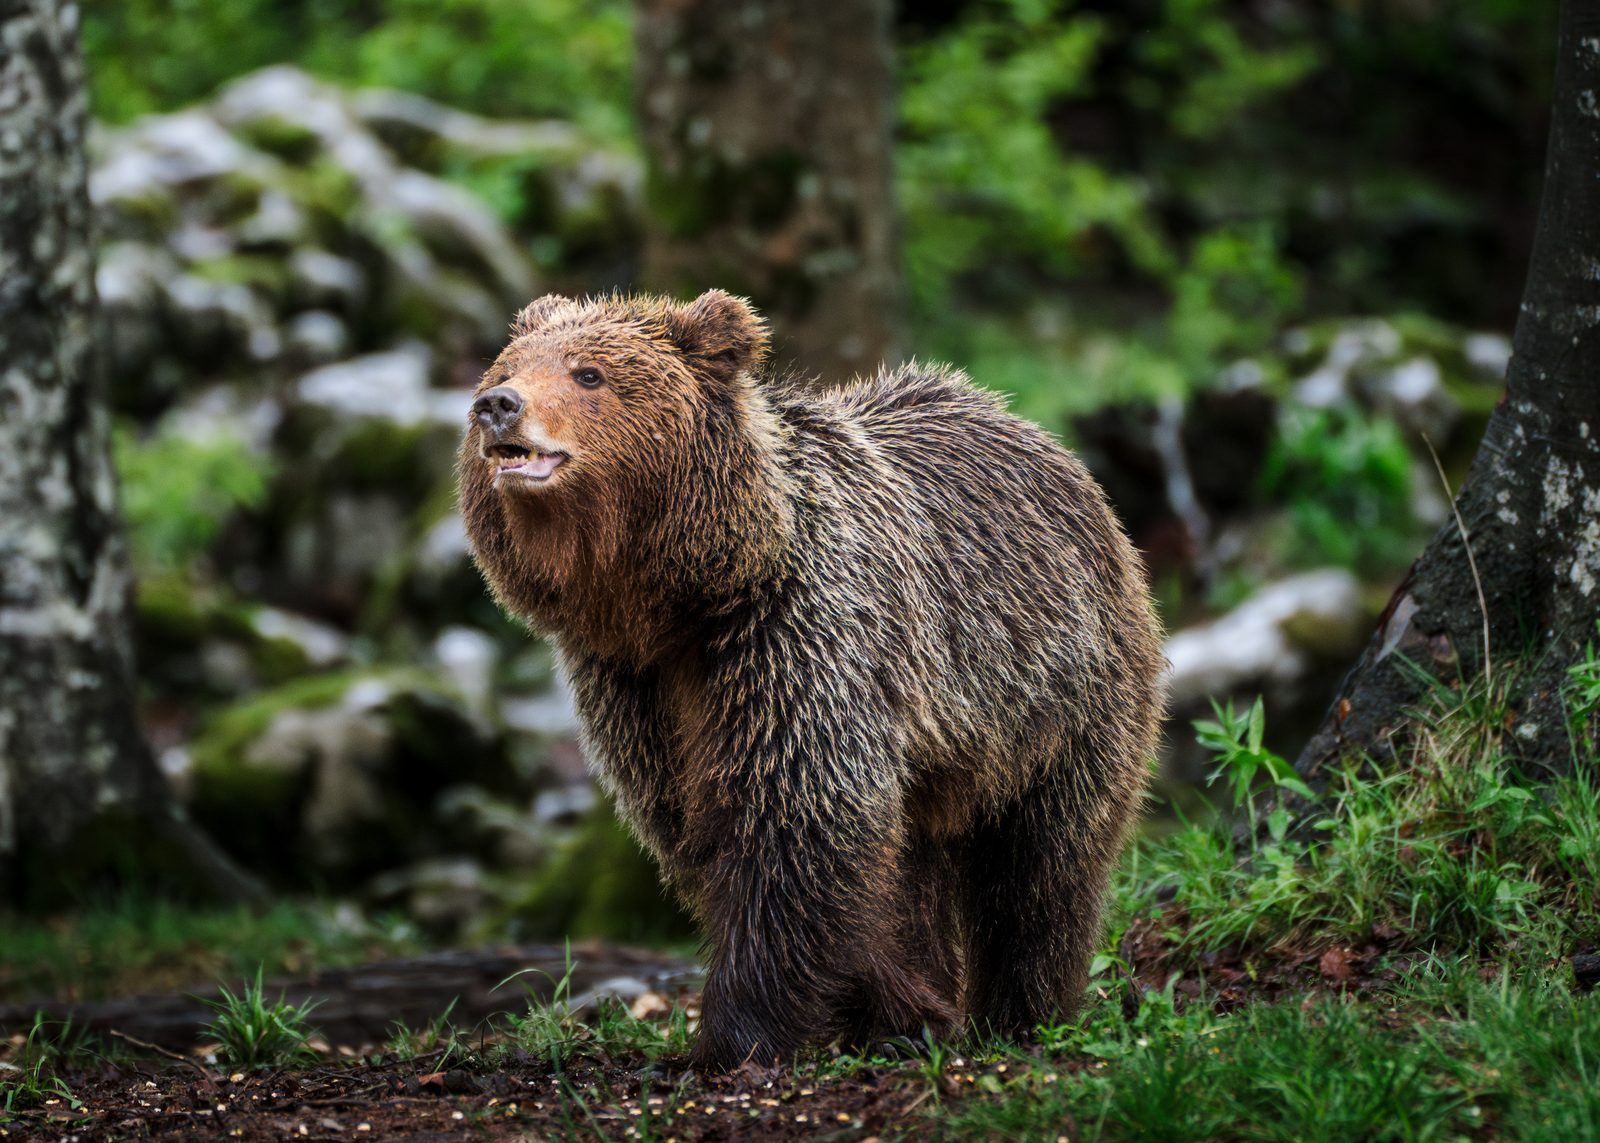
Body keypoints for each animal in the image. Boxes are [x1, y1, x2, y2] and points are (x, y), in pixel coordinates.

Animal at [458, 289, 1165, 1071]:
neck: (679, 598)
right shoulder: (637, 686)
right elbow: (706, 827)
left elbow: (797, 821)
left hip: (1058, 689)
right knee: (921, 858)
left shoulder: (800, 638)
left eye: (589, 374)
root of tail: (1050, 447)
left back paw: (1024, 1012)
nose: (497, 404)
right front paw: (901, 1009)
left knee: (1044, 862)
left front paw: (735, 1035)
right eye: (509, 365)